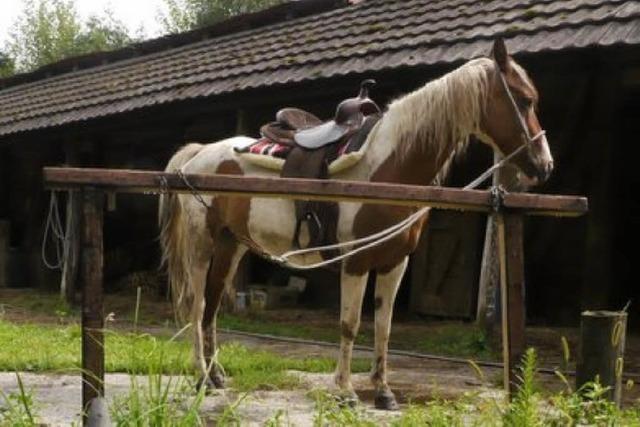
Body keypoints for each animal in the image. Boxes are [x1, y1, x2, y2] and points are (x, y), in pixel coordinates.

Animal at [158, 40, 552, 412]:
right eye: (524, 100)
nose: (545, 165)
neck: (388, 168)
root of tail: (198, 154)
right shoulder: (356, 262)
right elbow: (350, 326)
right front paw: (345, 391)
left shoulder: (395, 262)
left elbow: (383, 327)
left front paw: (384, 392)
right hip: (201, 245)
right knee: (196, 305)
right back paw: (201, 376)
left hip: (232, 245)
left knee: (211, 305)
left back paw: (216, 375)